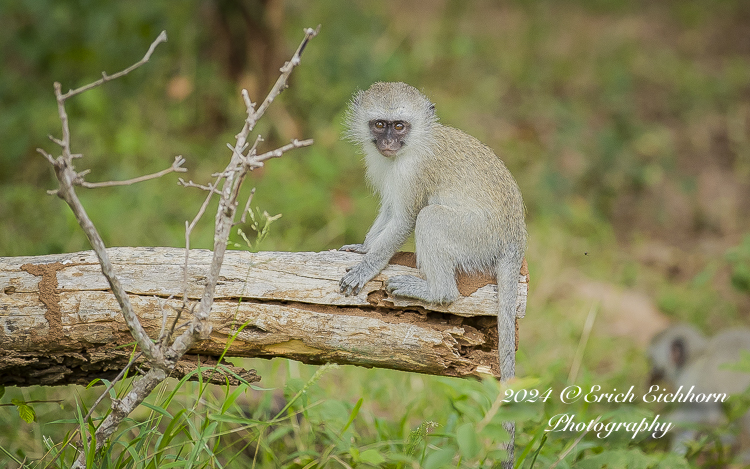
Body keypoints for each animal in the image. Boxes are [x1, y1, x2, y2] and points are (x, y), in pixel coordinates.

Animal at [340, 81, 528, 464]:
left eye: (399, 126)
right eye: (380, 124)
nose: (388, 143)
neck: (411, 147)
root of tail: (514, 240)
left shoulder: (414, 172)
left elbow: (405, 218)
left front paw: (367, 266)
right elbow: (389, 211)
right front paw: (364, 248)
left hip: (476, 236)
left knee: (431, 219)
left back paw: (434, 291)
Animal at [648, 324, 750, 458]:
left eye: (652, 361)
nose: (652, 373)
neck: (698, 357)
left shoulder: (695, 382)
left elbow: (707, 414)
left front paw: (655, 427)